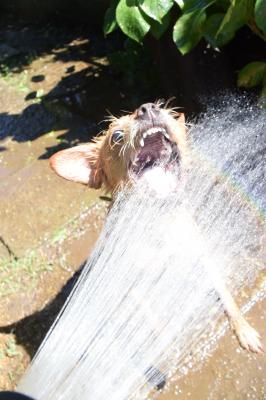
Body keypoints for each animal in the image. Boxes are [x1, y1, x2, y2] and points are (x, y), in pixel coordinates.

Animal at [49, 102, 262, 354]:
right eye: (116, 136)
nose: (147, 108)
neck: (159, 222)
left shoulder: (201, 256)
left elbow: (225, 295)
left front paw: (243, 329)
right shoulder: (132, 286)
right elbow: (153, 323)